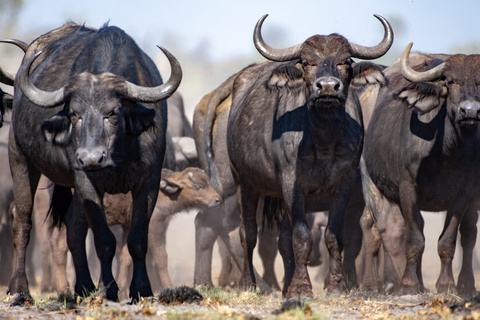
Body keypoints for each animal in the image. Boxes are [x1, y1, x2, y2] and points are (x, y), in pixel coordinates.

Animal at [8, 22, 181, 302]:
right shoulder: (86, 181)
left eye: (112, 112)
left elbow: (137, 240)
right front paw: (109, 290)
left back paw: (83, 286)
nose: (90, 158)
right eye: (74, 114)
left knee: (74, 229)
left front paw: (141, 289)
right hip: (20, 158)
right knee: (22, 221)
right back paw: (19, 287)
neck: (118, 153)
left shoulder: (149, 182)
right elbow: (104, 241)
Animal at [223, 13, 392, 298]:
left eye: (345, 61)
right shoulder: (292, 185)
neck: (323, 141)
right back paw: (249, 283)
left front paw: (335, 285)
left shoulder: (344, 184)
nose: (327, 87)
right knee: (248, 233)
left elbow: (333, 236)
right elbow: (302, 237)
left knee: (283, 239)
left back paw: (286, 286)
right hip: (243, 181)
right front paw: (302, 288)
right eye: (306, 62)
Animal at [364, 43, 480, 296]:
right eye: (451, 81)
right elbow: (414, 238)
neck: (445, 154)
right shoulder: (407, 189)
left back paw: (465, 284)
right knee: (378, 227)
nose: (470, 111)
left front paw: (446, 284)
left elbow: (448, 240)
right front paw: (408, 284)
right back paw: (378, 284)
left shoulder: (463, 194)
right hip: (371, 184)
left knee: (468, 233)